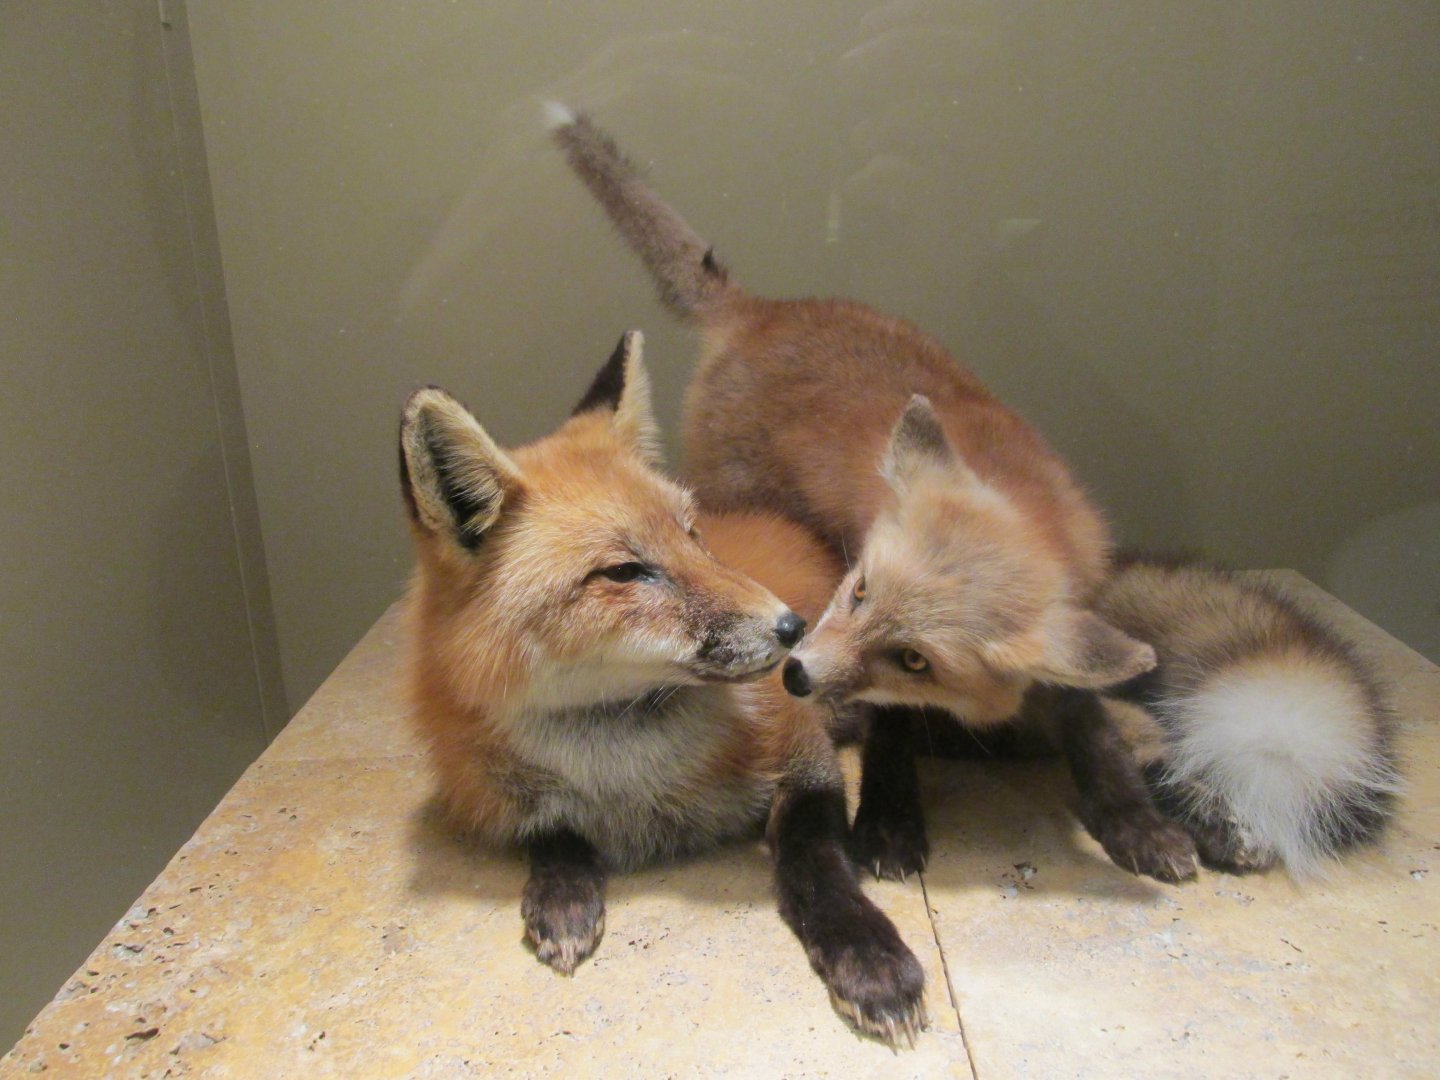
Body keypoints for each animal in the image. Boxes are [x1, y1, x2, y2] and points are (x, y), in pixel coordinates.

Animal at [398, 330, 925, 1044]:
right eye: (624, 572)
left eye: (692, 534)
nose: (792, 627)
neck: (629, 769)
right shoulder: (494, 798)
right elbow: (554, 835)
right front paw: (562, 896)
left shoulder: (807, 760)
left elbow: (816, 866)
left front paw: (868, 957)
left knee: (901, 723)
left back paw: (893, 823)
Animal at [548, 108, 1400, 882]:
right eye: (858, 591)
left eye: (915, 658)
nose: (795, 676)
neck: (1030, 513)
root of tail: (760, 310)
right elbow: (895, 743)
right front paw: (890, 825)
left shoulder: (1070, 631)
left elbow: (1094, 729)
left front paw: (1132, 821)